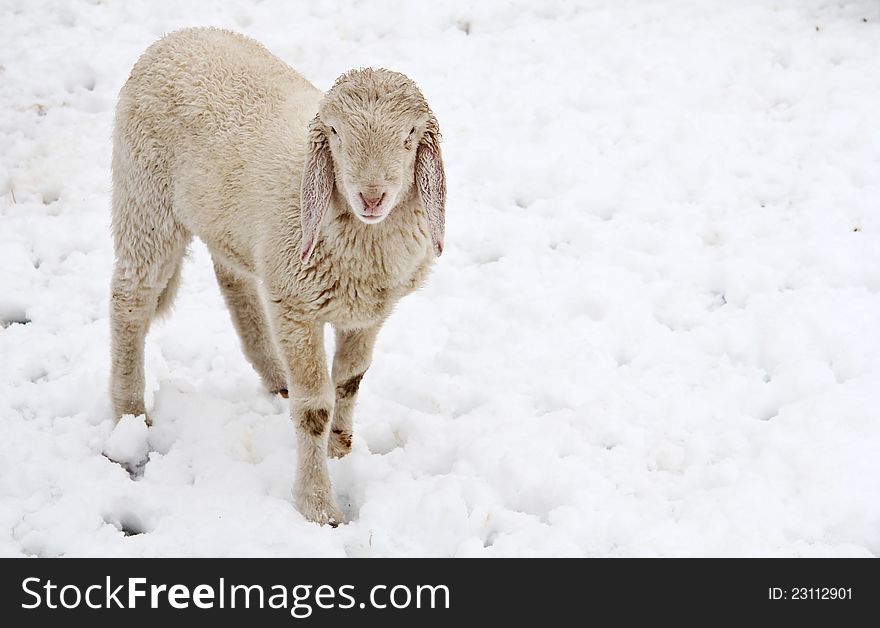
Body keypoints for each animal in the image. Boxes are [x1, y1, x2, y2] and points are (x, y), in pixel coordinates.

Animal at [108, 28, 446, 524]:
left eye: (409, 137)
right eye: (336, 134)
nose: (371, 196)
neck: (360, 238)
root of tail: (176, 36)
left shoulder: (367, 314)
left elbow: (349, 380)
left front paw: (341, 448)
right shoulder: (296, 308)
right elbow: (315, 407)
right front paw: (318, 505)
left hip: (227, 224)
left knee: (234, 282)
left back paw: (274, 375)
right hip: (145, 198)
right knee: (130, 300)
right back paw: (128, 416)